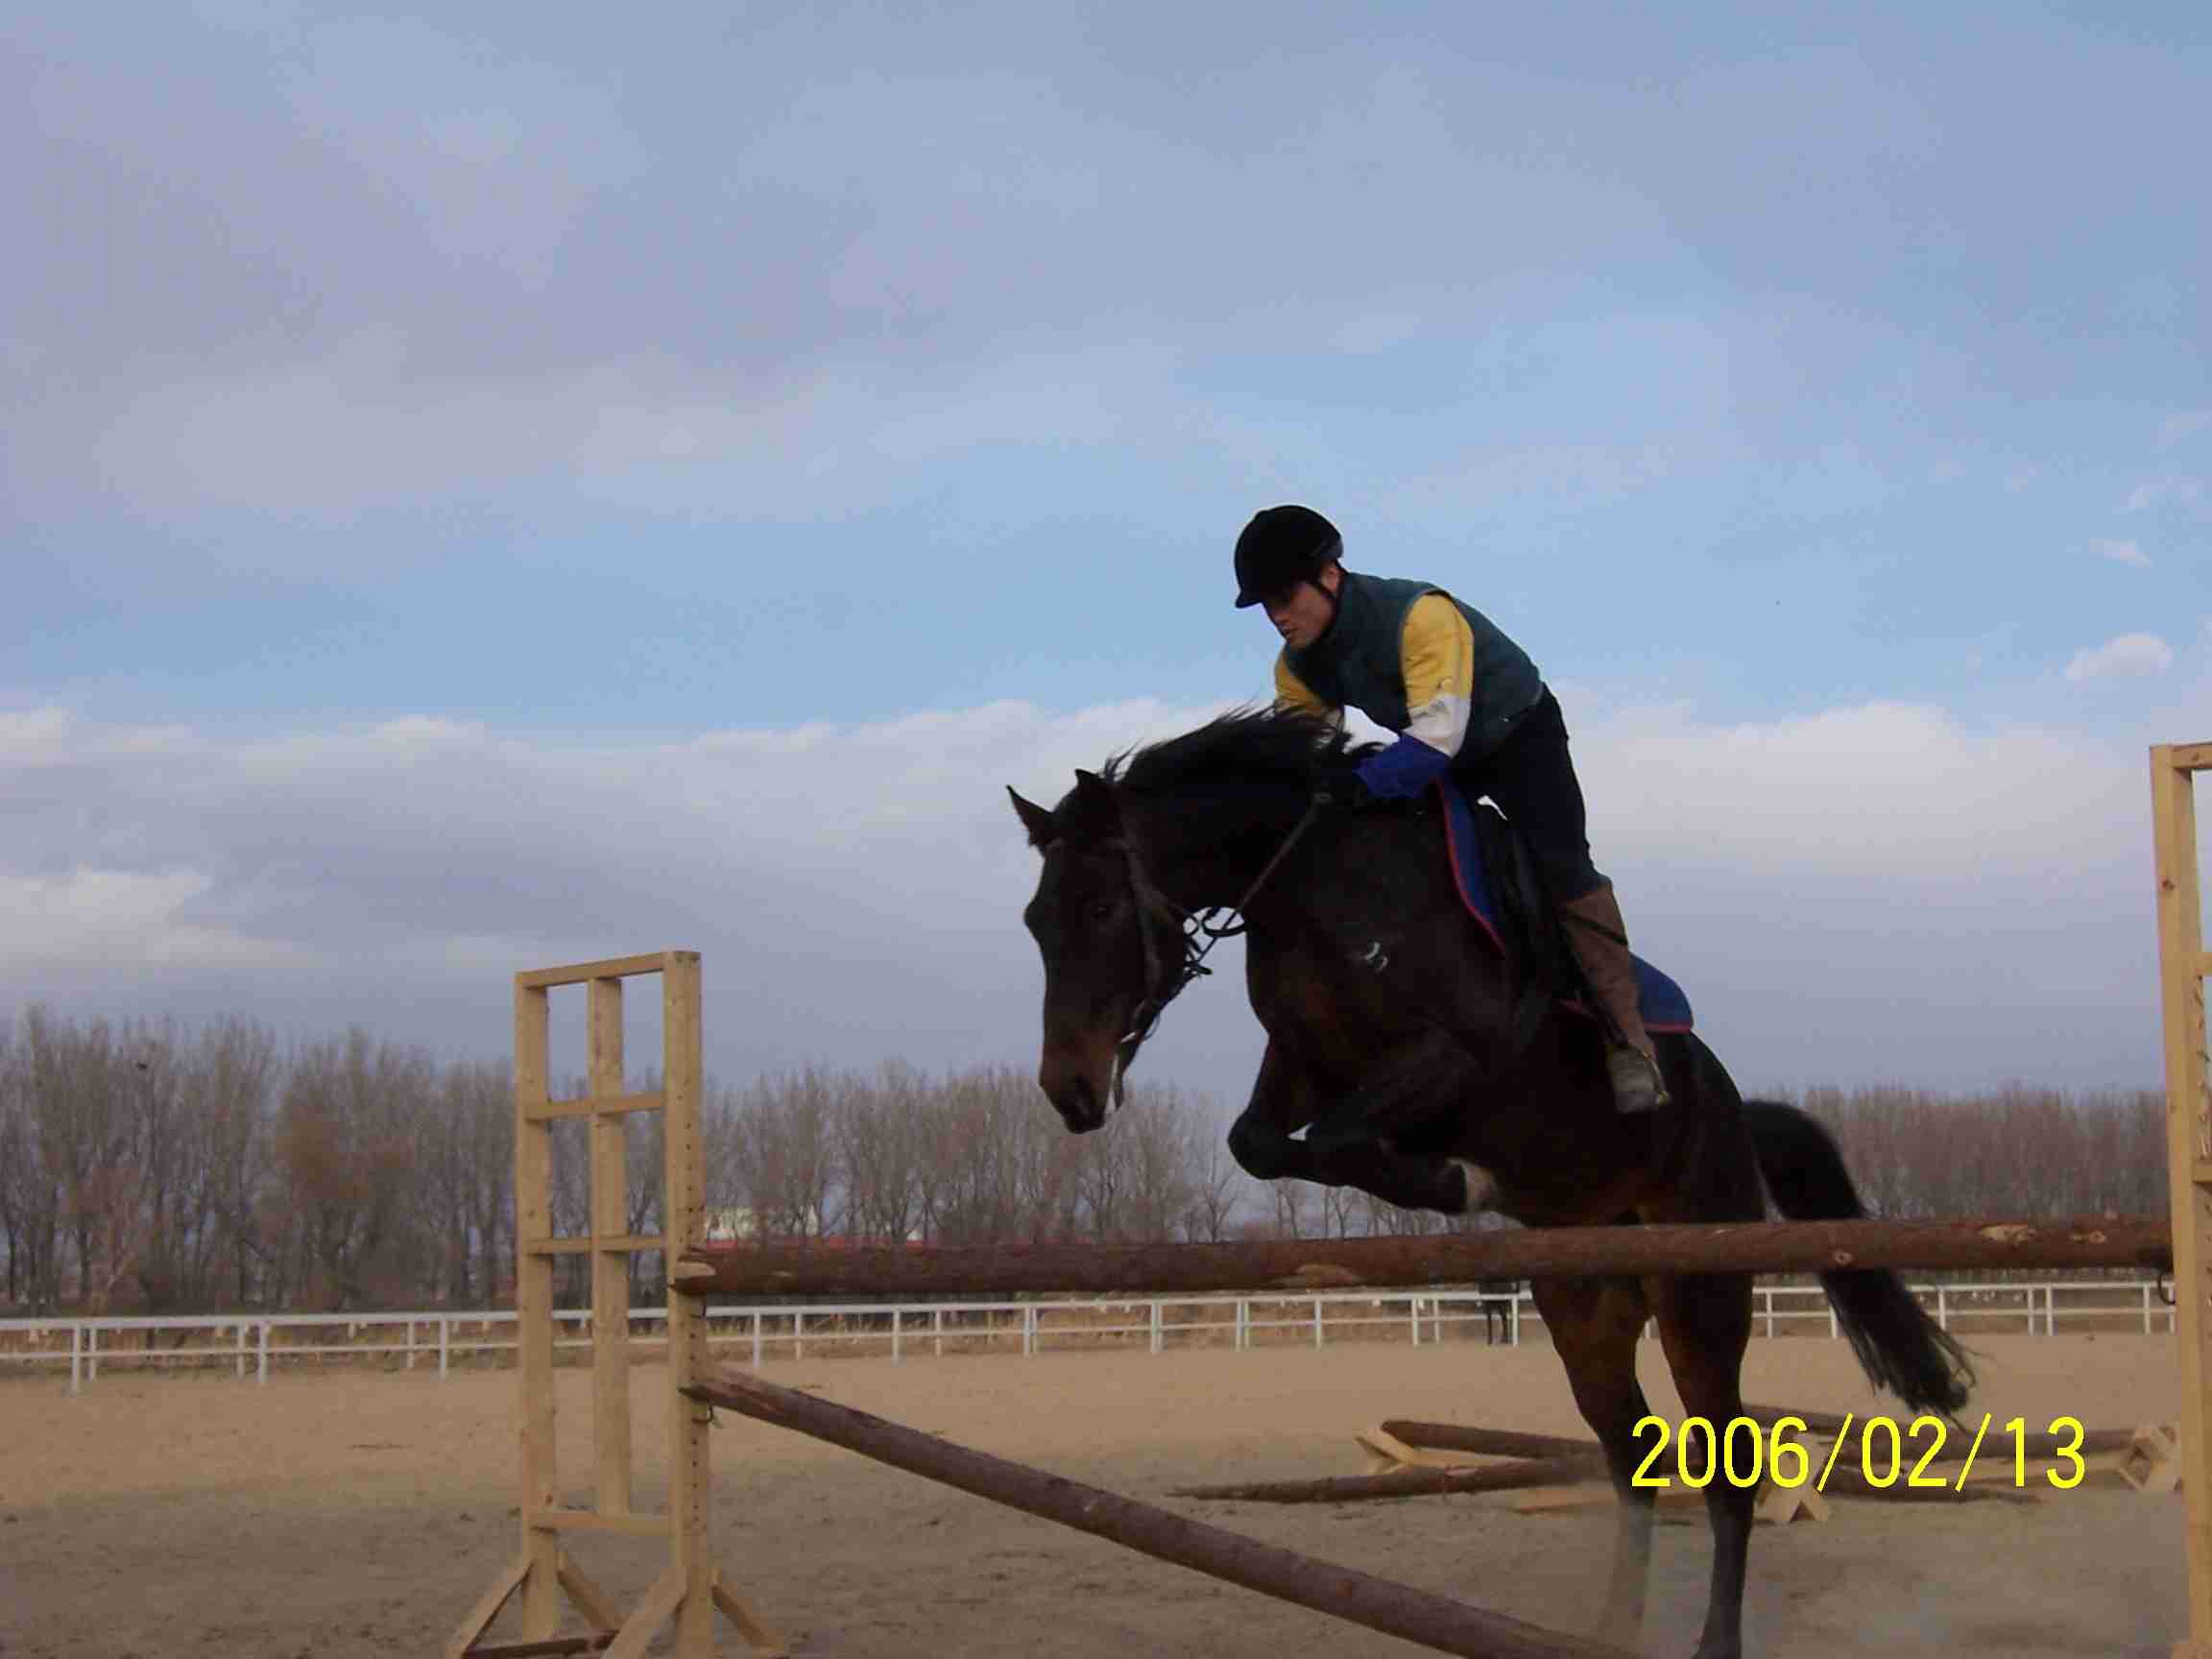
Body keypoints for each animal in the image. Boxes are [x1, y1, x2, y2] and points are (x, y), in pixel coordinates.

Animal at [1008, 708, 1973, 1659]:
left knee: (1723, 1473)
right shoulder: (1303, 1065)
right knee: (1633, 1460)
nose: (1071, 1091)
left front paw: (1464, 1180)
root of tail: (1736, 1109)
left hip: (1698, 1293)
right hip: (1586, 1312)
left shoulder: (1456, 1054)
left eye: (1100, 905)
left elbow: (1340, 1137)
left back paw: (1712, 1643)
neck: (1316, 878)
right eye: (1034, 921)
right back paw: (1611, 1630)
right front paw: (1455, 1181)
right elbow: (1261, 1142)